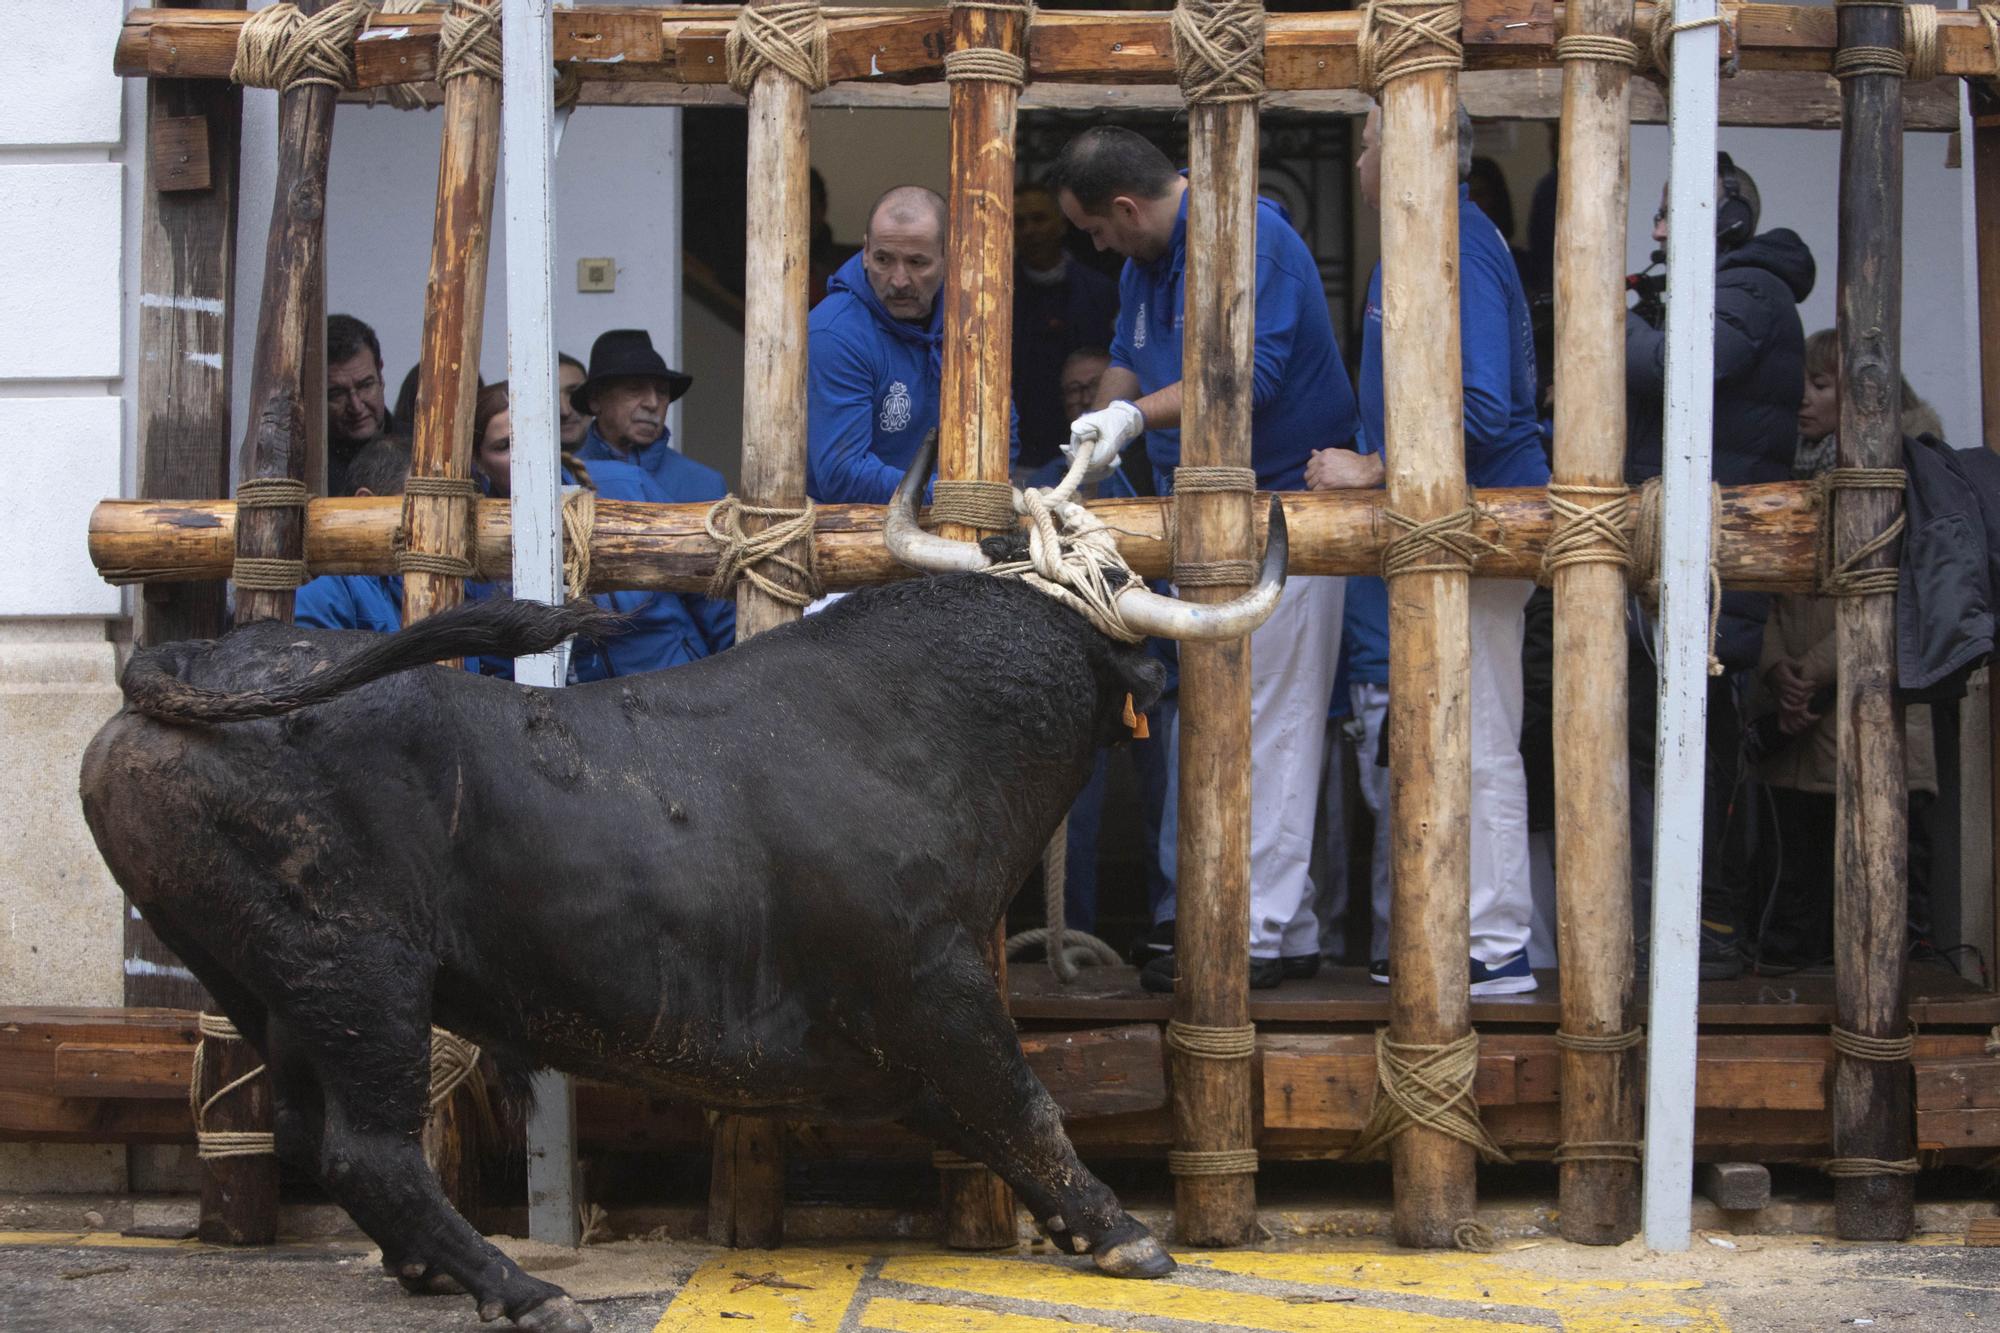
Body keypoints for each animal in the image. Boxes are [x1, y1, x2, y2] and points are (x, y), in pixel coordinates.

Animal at [82, 568, 1184, 1320]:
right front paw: (1124, 1233)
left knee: (307, 1127)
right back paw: (522, 1289)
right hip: (359, 975)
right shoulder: (931, 984)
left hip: (267, 985)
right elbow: (1023, 1101)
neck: (923, 733)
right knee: (369, 1150)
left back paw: (437, 1267)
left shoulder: (905, 1042)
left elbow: (990, 1117)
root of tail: (187, 662)